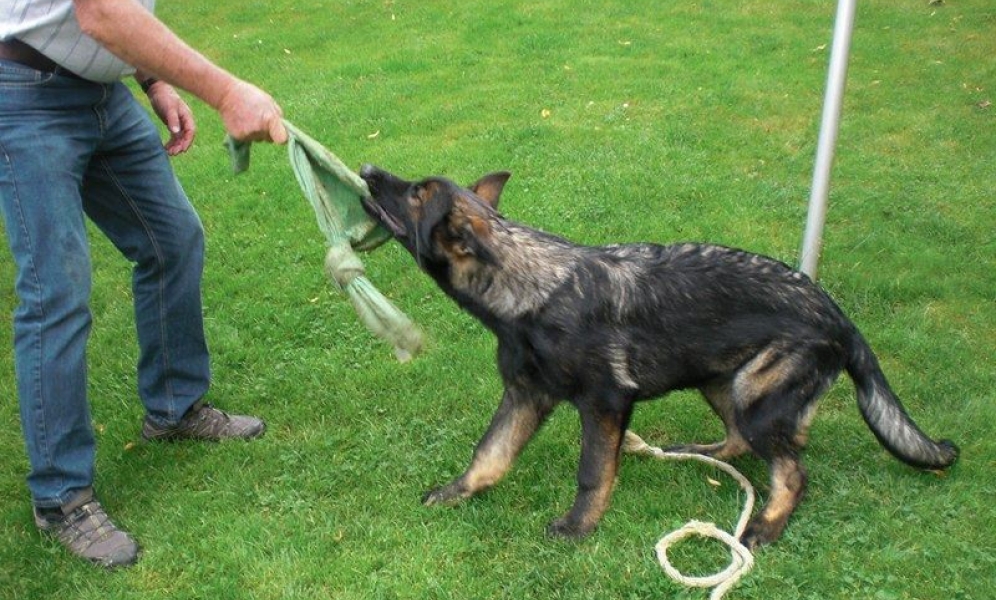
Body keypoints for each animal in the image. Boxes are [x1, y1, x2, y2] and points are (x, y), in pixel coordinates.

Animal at [358, 164, 956, 548]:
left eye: (416, 193)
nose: (366, 169)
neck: (531, 287)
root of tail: (839, 317)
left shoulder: (604, 404)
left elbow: (592, 472)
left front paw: (579, 527)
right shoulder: (526, 395)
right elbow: (489, 454)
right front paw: (456, 493)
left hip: (755, 397)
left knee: (792, 471)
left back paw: (765, 525)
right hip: (721, 381)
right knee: (742, 441)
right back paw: (702, 451)